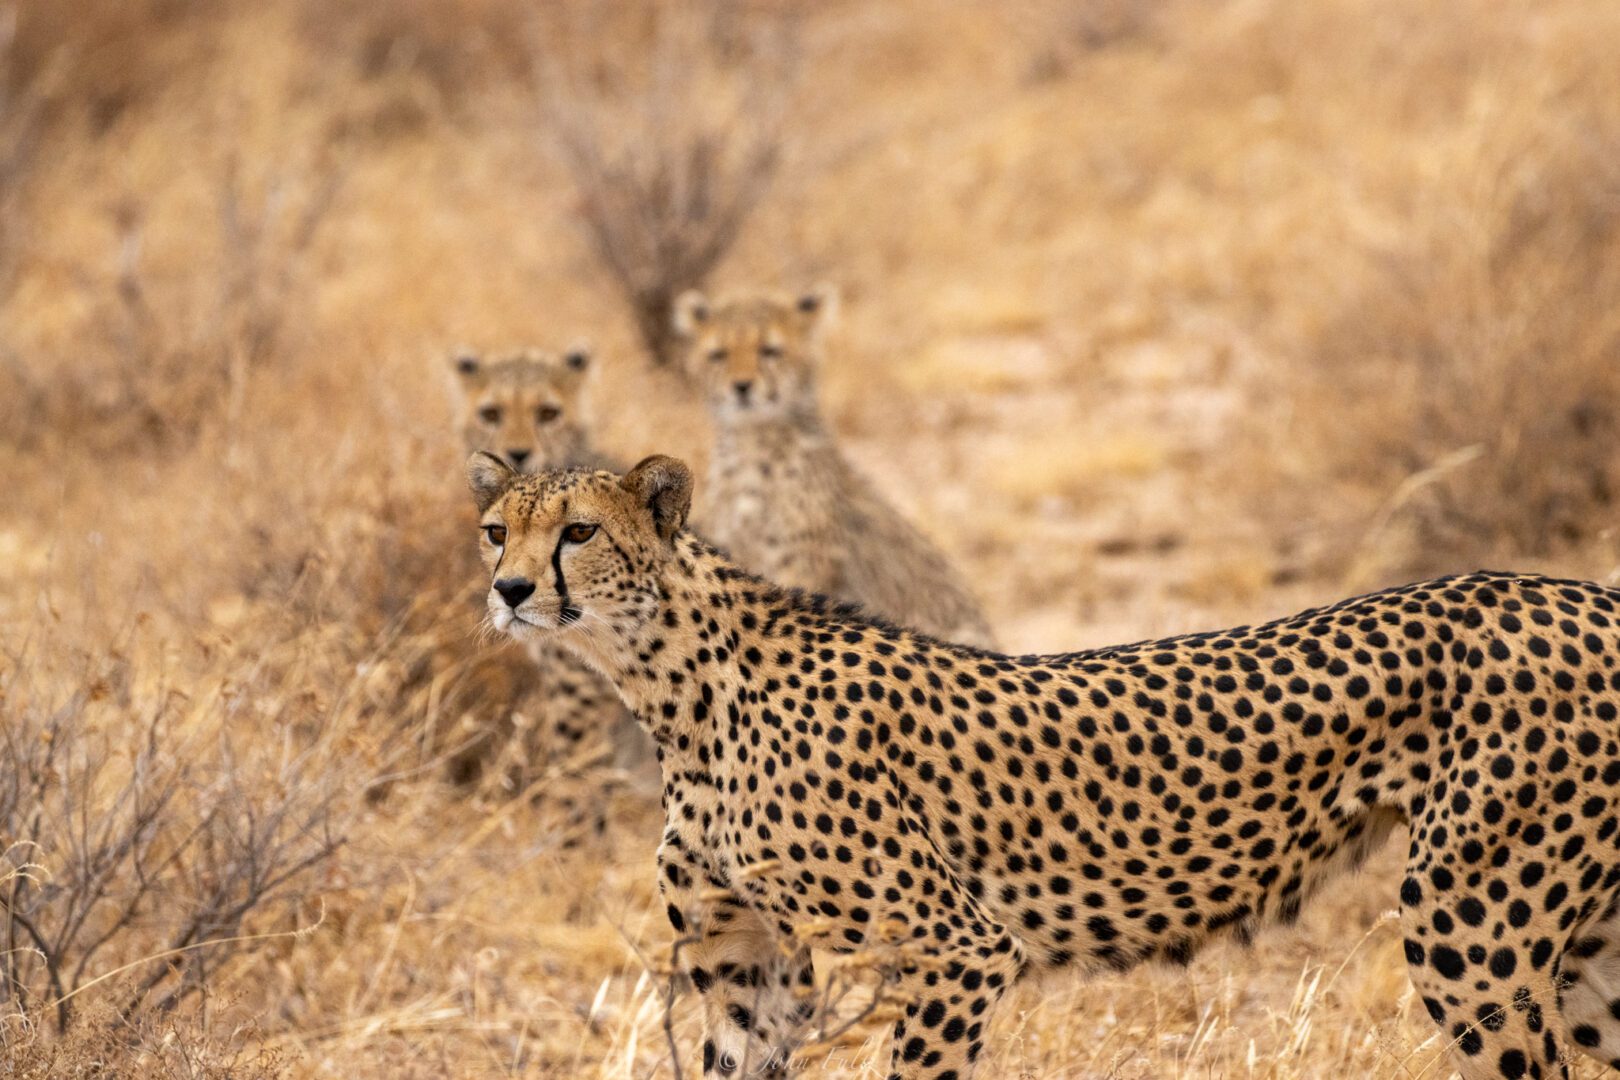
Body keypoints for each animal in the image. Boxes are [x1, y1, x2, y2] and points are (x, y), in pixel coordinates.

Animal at [466, 450, 1620, 1080]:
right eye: (493, 531)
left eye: (579, 531)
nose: (512, 591)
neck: (677, 690)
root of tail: (1578, 592)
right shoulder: (746, 961)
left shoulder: (958, 947)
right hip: (1577, 944)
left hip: (1468, 926)